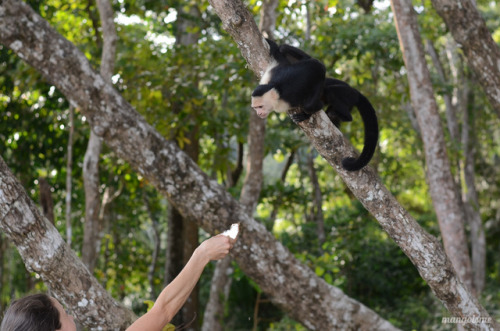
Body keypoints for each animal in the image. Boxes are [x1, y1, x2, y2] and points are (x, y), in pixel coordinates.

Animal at [252, 39, 376, 171]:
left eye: (260, 107)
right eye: (255, 108)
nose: (258, 113)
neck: (276, 88)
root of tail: (355, 93)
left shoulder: (285, 100)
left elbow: (312, 101)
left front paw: (308, 114)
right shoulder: (270, 75)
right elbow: (280, 54)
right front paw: (270, 42)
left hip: (347, 94)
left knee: (326, 85)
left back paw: (343, 114)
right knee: (286, 49)